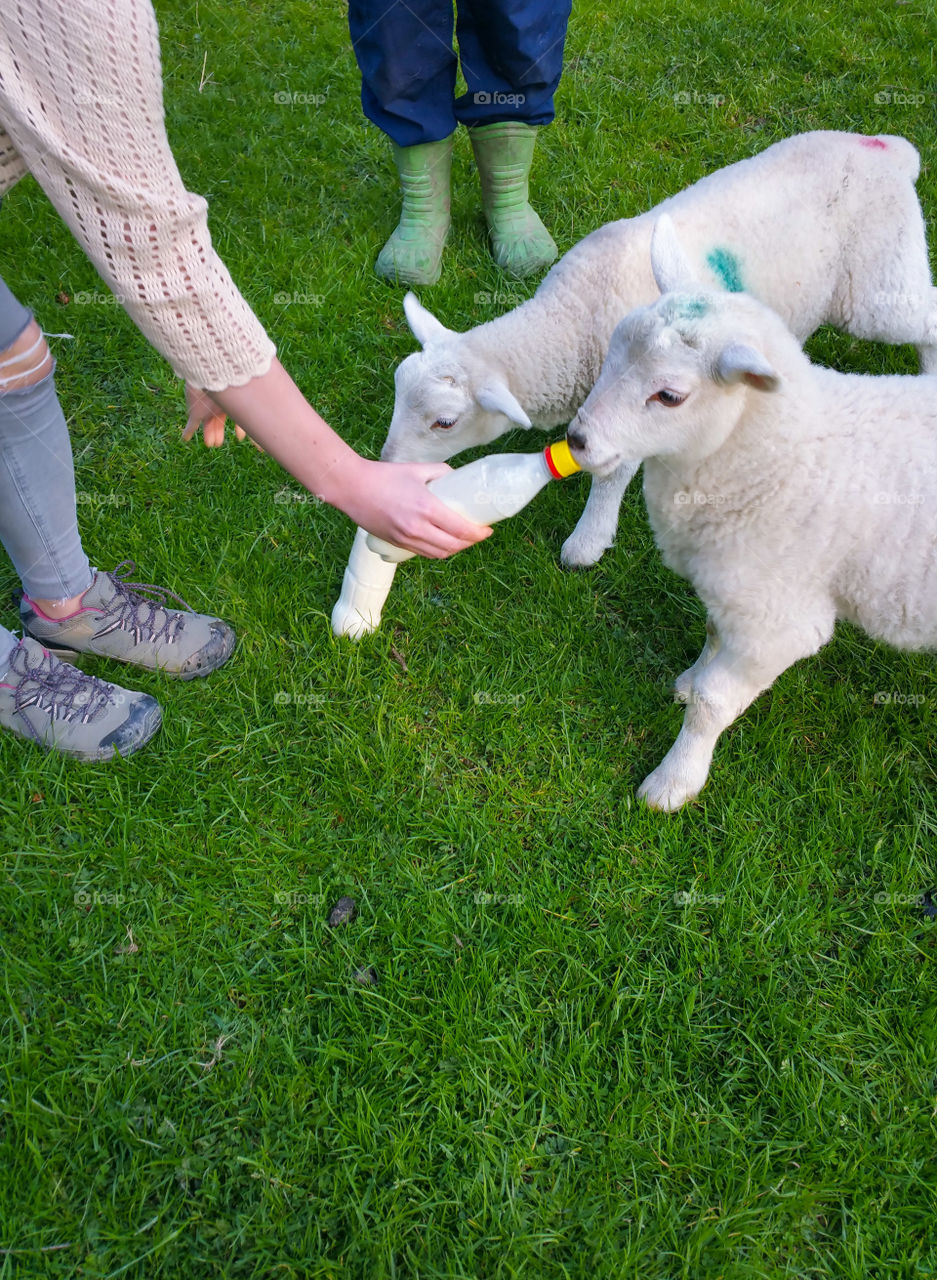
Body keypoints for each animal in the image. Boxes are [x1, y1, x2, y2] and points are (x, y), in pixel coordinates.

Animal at [376, 131, 931, 570]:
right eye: (398, 389)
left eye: (445, 422)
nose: (388, 469)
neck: (571, 316)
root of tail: (889, 151)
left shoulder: (630, 407)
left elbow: (612, 471)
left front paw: (587, 541)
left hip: (877, 283)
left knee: (925, 319)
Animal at [563, 217, 937, 808]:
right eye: (613, 348)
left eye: (670, 396)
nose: (577, 440)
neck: (777, 457)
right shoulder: (731, 595)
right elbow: (712, 639)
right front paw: (688, 681)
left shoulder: (777, 622)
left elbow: (714, 702)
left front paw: (673, 782)